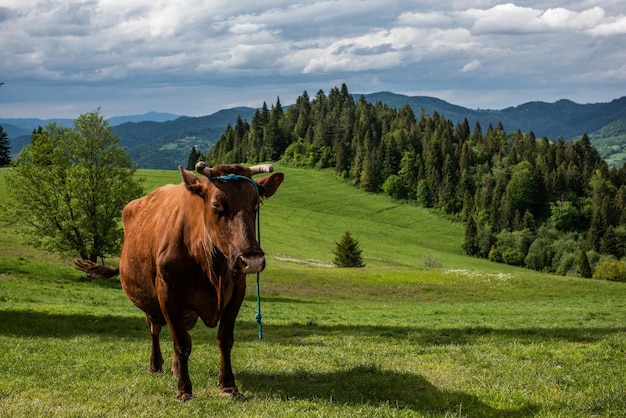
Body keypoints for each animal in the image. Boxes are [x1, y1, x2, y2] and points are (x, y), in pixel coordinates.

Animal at [73, 162, 286, 400]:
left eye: (256, 204)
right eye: (217, 204)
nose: (252, 260)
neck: (212, 268)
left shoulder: (237, 291)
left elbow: (224, 340)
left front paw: (228, 387)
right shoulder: (167, 293)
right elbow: (181, 344)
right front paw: (184, 390)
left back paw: (175, 368)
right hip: (150, 302)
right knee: (155, 330)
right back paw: (156, 365)